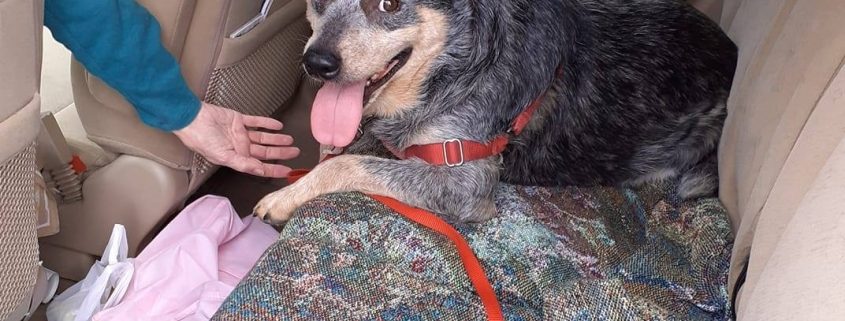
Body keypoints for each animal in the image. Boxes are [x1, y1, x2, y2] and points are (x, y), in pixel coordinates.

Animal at [254, 0, 736, 224]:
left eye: (389, 4)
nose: (316, 63)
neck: (455, 65)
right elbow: (349, 149)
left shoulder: (467, 180)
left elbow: (348, 164)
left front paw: (284, 197)